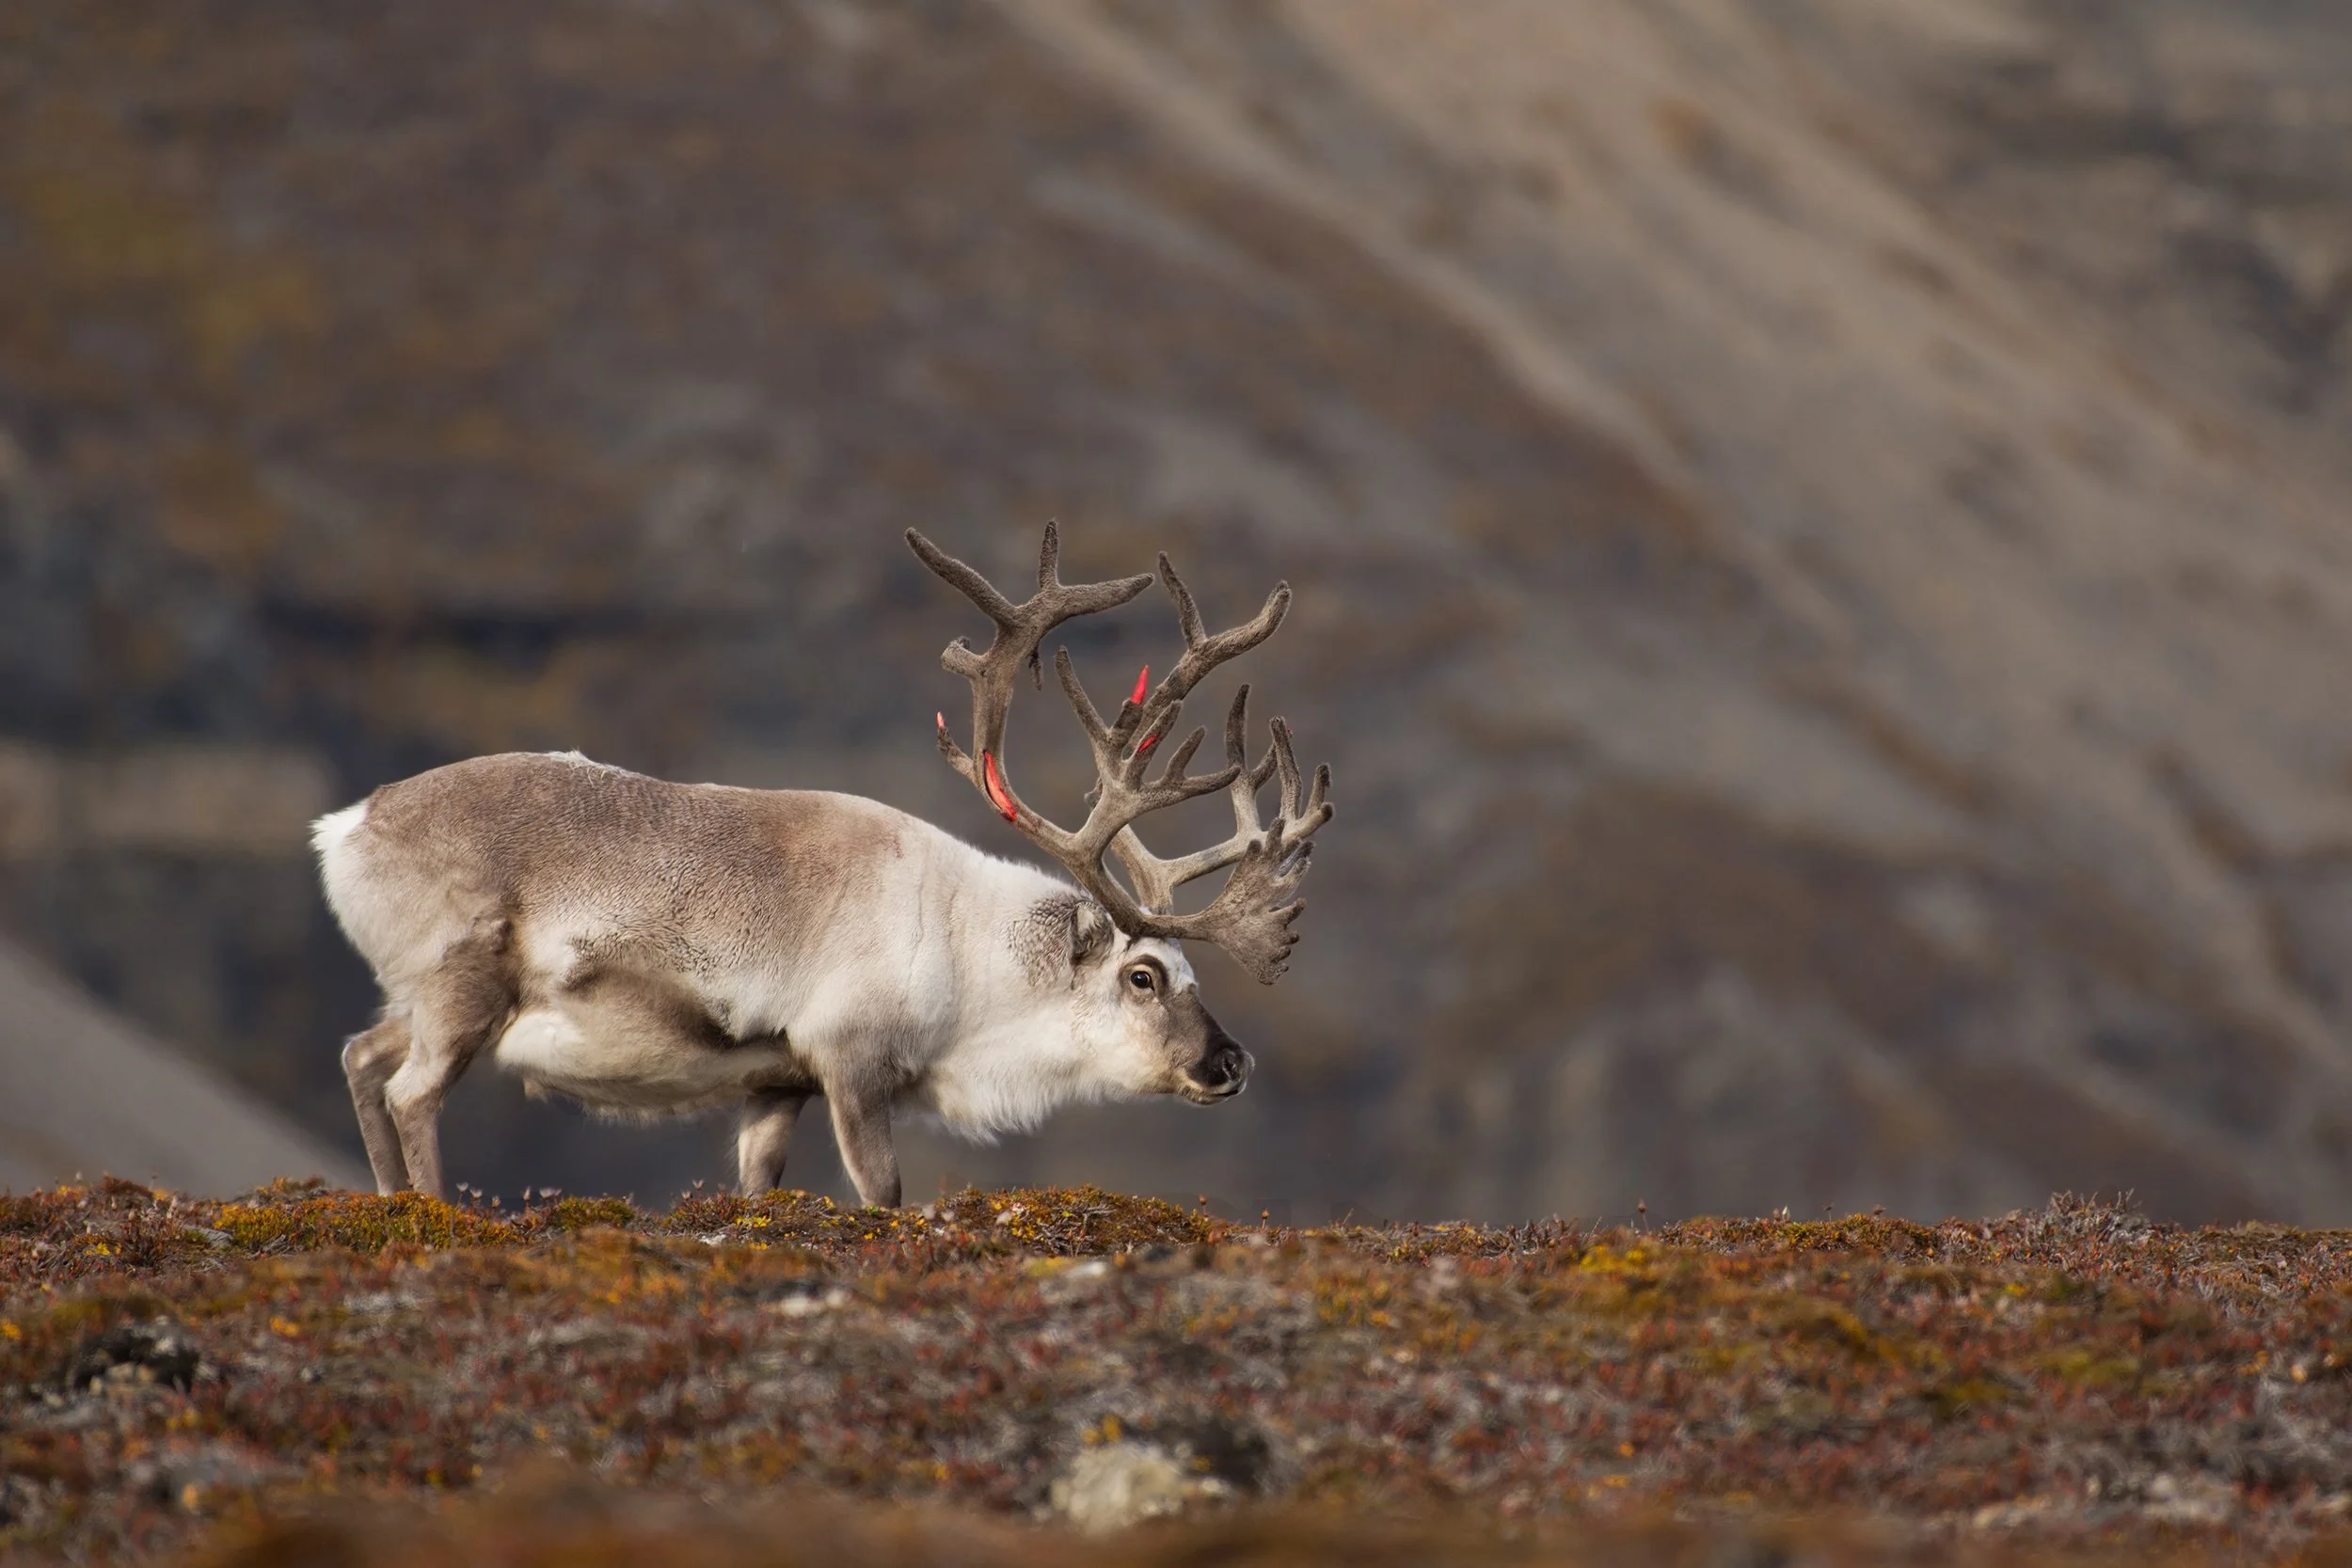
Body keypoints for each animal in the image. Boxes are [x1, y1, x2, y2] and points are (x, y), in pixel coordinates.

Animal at [311, 524, 1333, 1208]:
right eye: (1144, 973)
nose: (1231, 1060)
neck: (968, 959)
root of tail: (343, 829)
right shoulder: (850, 1061)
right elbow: (882, 1192)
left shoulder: (774, 1081)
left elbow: (758, 1188)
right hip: (463, 989)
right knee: (409, 1090)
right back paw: (437, 1214)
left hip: (421, 997)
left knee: (360, 1055)